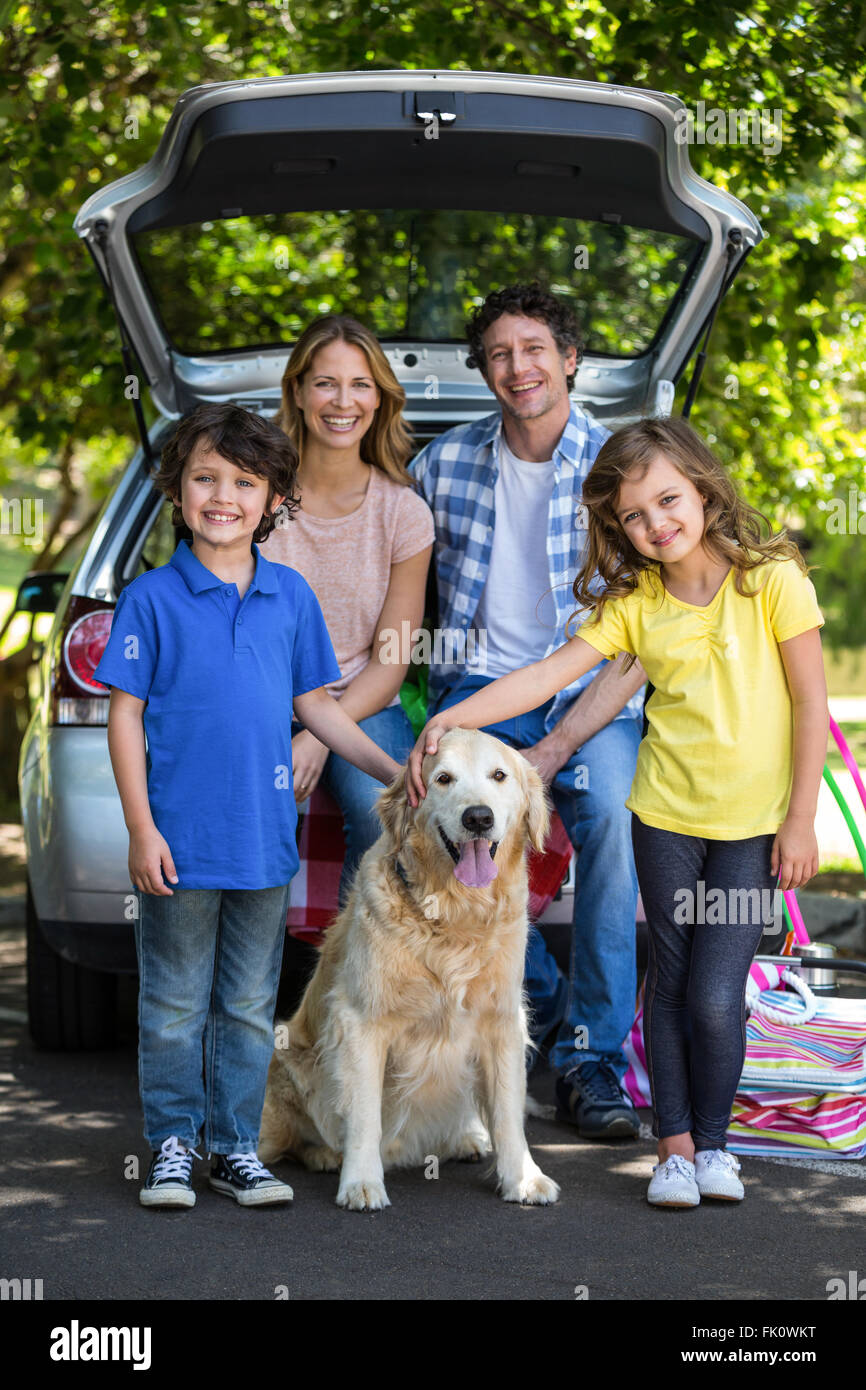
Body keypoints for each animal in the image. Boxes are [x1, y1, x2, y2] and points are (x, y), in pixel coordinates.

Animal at [258, 722, 561, 1212]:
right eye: (443, 779)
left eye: (499, 776)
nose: (478, 818)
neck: (454, 918)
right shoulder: (362, 1021)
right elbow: (364, 1116)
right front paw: (361, 1182)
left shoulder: (502, 1022)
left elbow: (508, 1113)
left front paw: (523, 1178)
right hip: (282, 1061)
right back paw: (323, 1154)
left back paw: (465, 1138)